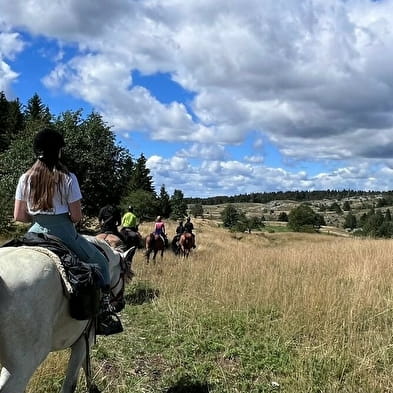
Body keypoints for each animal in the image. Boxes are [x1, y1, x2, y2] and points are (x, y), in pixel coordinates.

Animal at [0, 236, 135, 392]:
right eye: (124, 276)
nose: (121, 304)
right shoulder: (83, 340)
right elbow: (72, 381)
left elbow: (86, 364)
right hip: (20, 371)